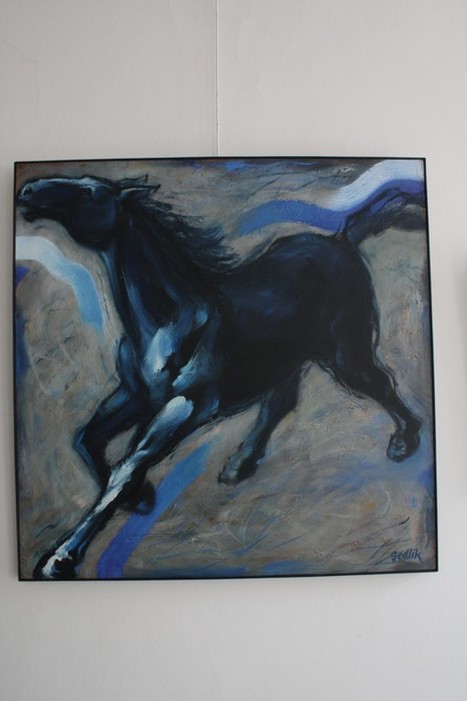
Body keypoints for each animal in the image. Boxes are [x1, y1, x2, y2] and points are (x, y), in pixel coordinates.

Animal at [16, 172, 422, 579]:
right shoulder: (134, 396)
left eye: (90, 193)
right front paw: (142, 500)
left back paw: (404, 443)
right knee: (280, 403)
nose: (28, 191)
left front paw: (60, 558)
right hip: (284, 361)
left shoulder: (183, 407)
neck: (167, 323)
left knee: (380, 384)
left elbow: (126, 468)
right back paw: (239, 464)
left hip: (345, 356)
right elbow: (87, 440)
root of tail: (341, 239)